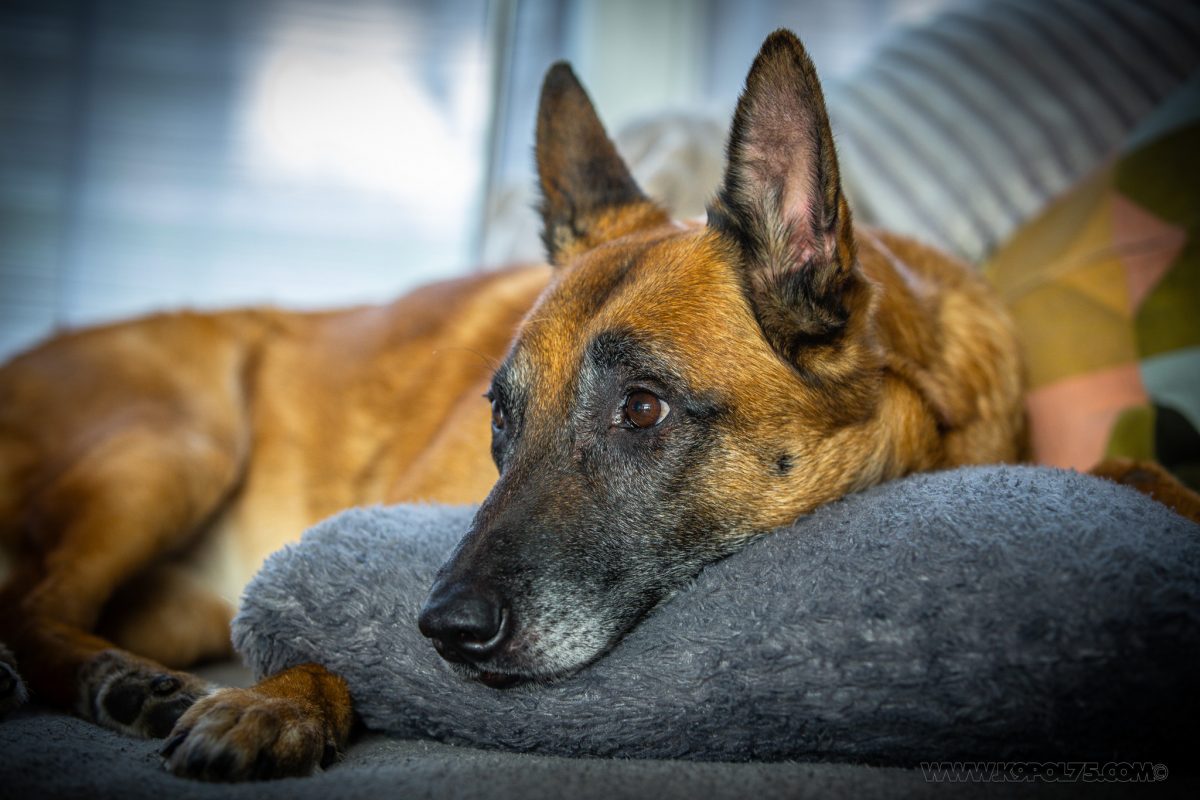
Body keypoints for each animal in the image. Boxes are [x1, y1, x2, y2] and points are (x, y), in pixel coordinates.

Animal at [1, 29, 1193, 782]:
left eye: (644, 409)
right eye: (500, 418)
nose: (444, 630)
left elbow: (1123, 471)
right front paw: (278, 697)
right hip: (177, 439)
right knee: (27, 598)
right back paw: (115, 681)